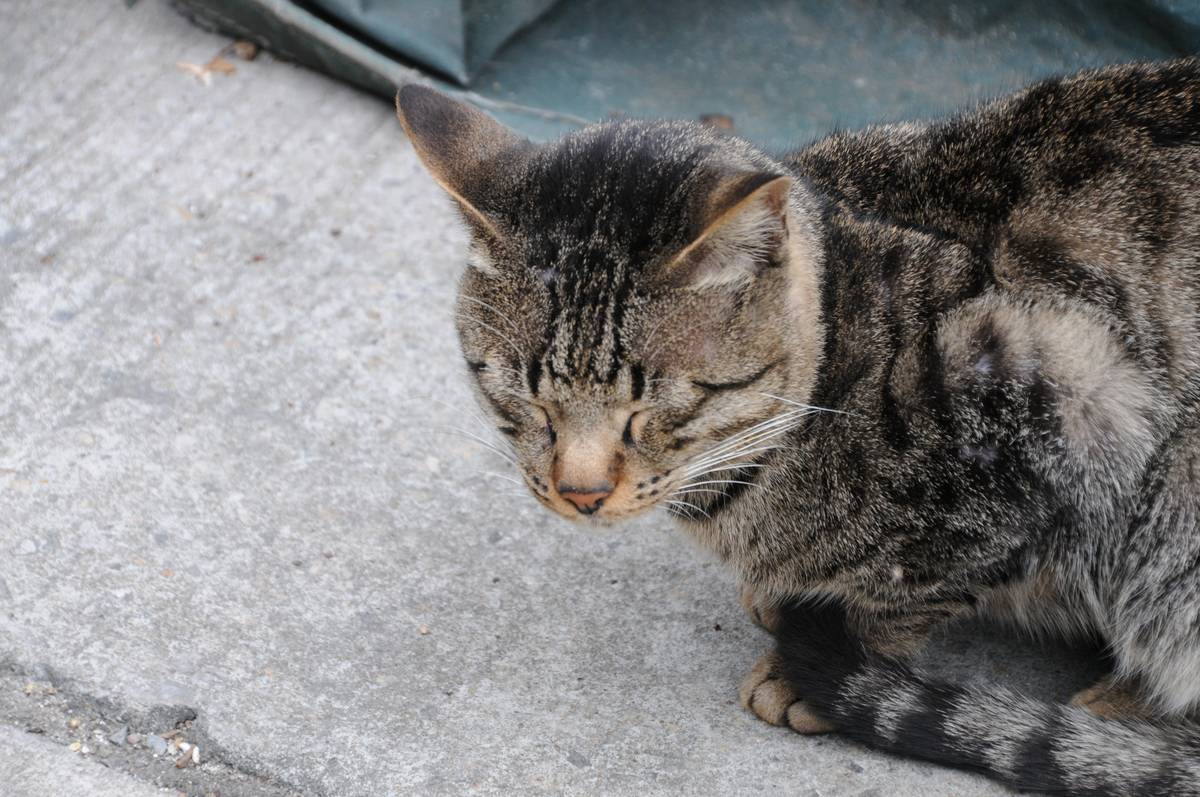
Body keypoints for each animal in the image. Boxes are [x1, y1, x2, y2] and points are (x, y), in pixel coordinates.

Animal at [396, 57, 1200, 795]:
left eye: (648, 409)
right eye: (525, 400)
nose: (580, 493)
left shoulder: (1071, 397)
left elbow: (910, 589)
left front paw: (824, 659)